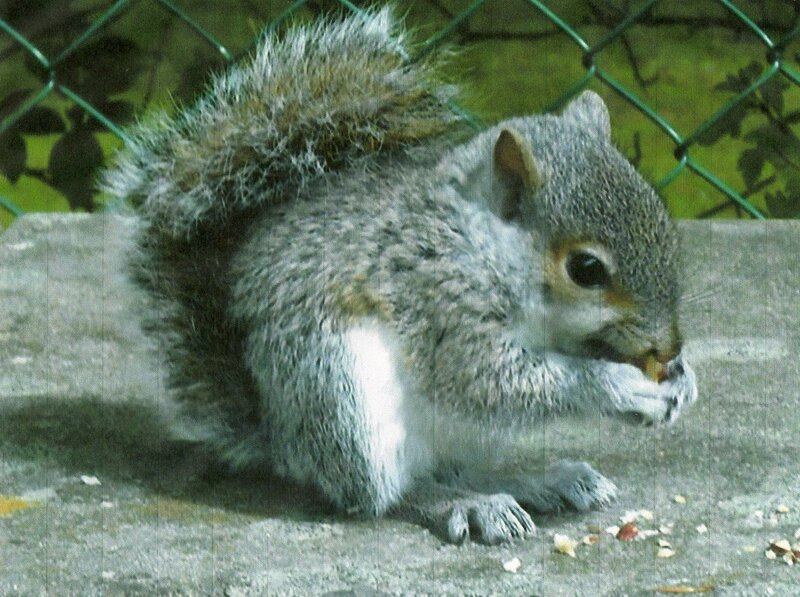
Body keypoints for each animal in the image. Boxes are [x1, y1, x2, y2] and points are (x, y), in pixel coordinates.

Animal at [102, 8, 697, 544]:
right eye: (585, 269)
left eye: (661, 216)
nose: (669, 346)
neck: (481, 245)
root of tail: (281, 440)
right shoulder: (438, 296)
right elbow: (491, 380)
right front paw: (616, 386)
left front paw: (680, 380)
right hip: (340, 394)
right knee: (389, 495)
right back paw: (466, 504)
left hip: (461, 436)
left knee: (459, 468)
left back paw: (540, 480)